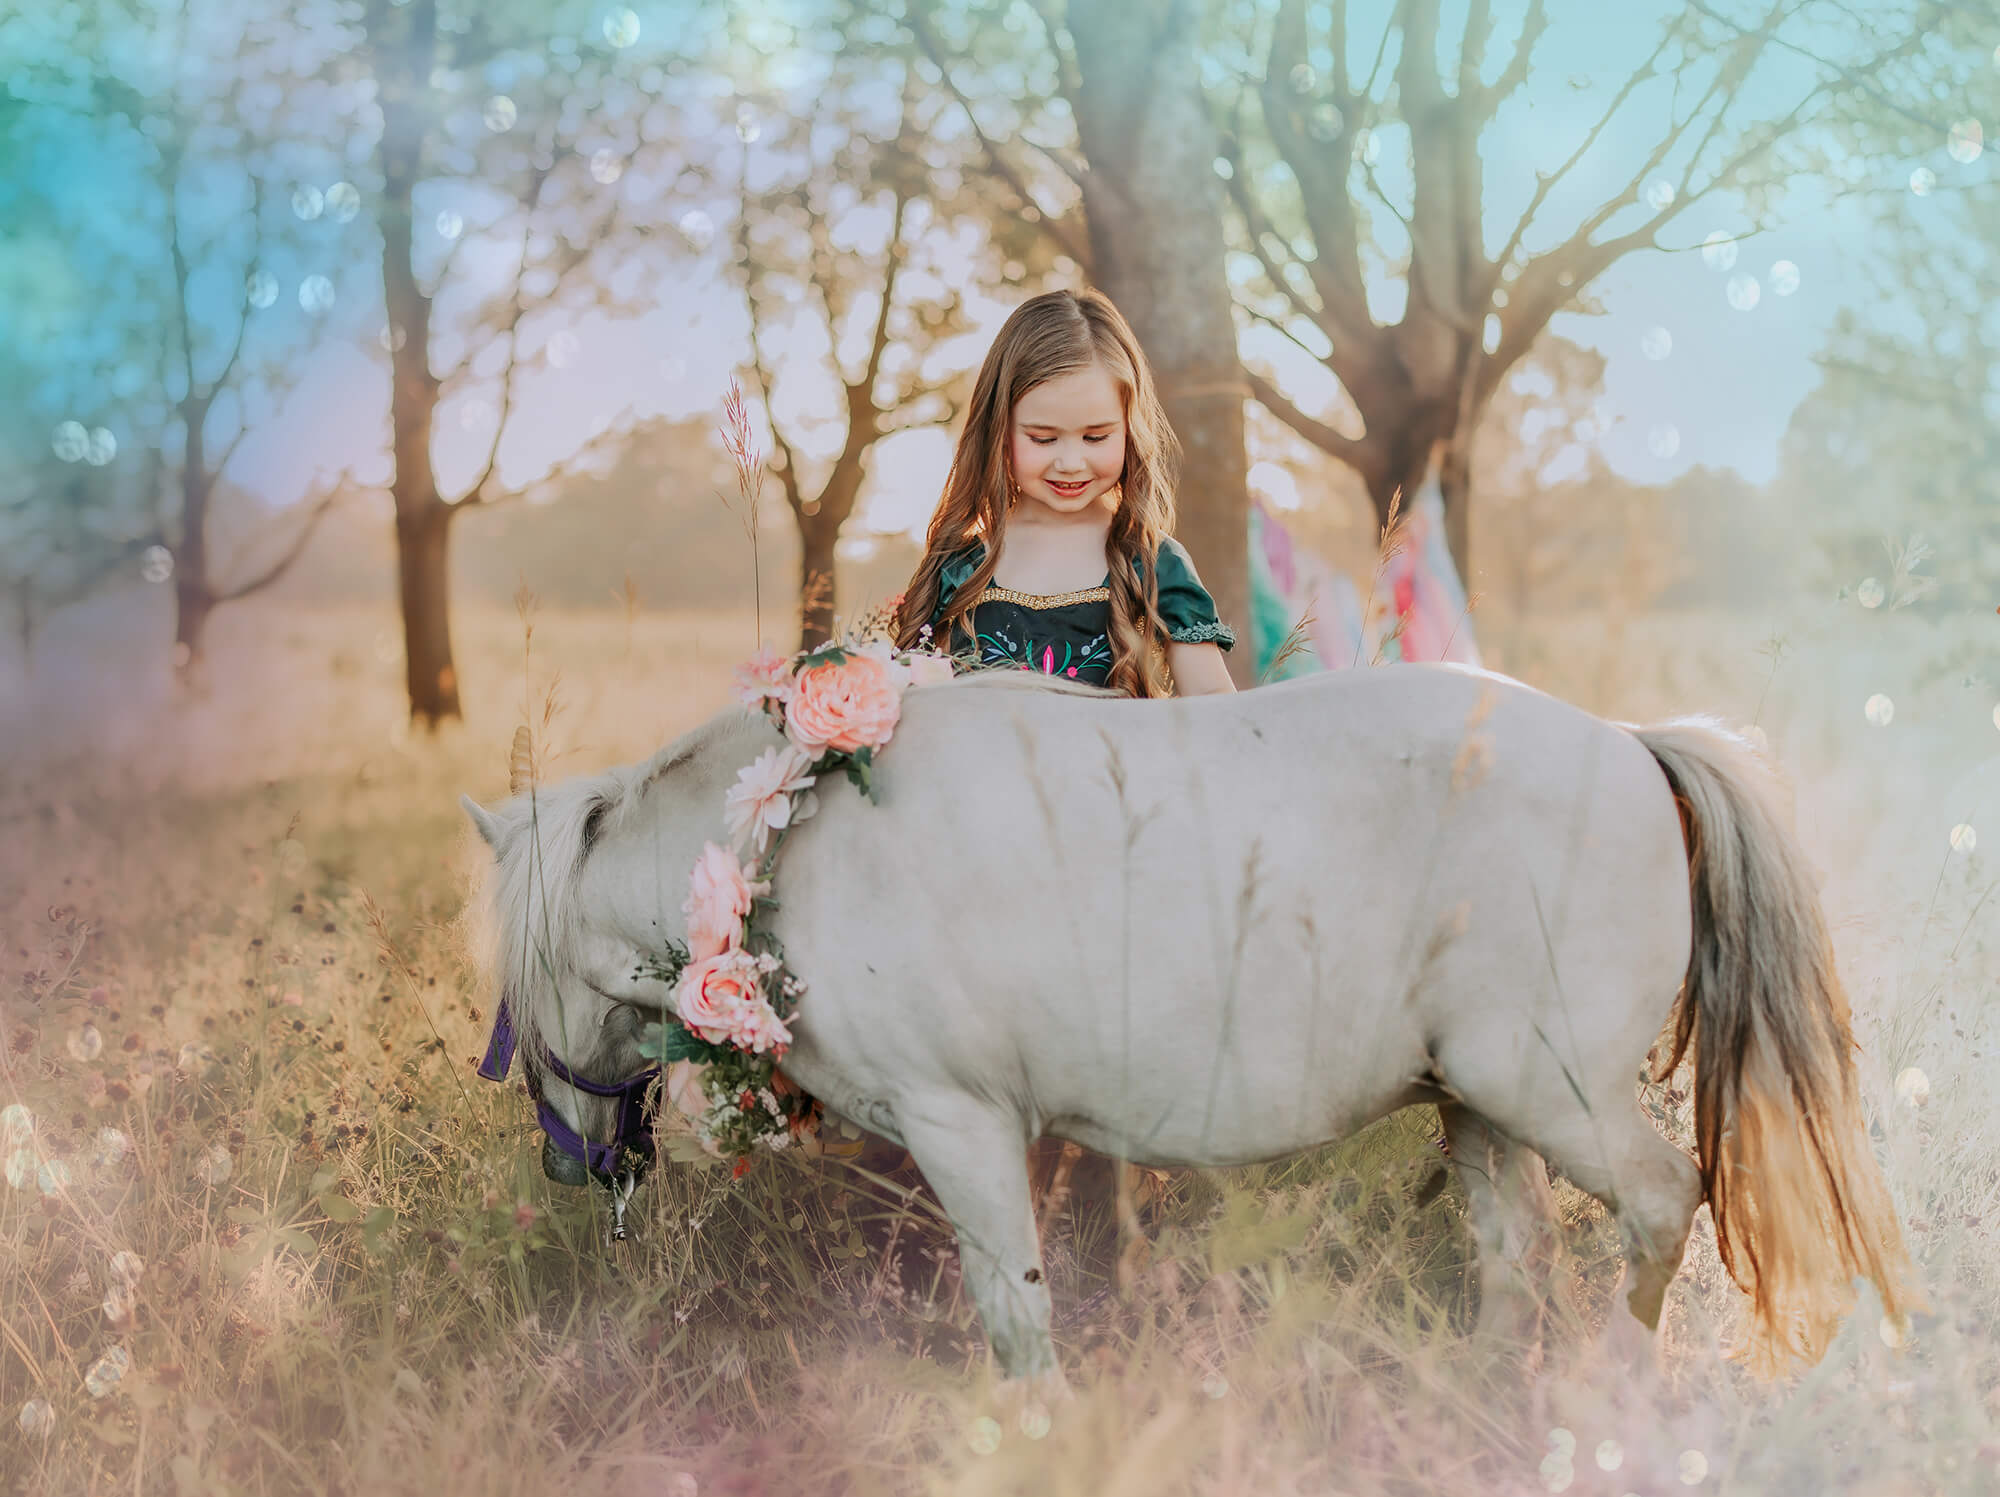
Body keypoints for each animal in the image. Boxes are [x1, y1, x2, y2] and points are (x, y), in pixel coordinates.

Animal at [461, 664, 1920, 1385]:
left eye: (522, 994)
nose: (567, 1163)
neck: (787, 841)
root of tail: (1628, 740)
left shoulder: (962, 1124)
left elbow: (1016, 1314)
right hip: (1481, 1106)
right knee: (1515, 1261)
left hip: (1549, 1091)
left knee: (1663, 1202)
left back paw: (1618, 1380)